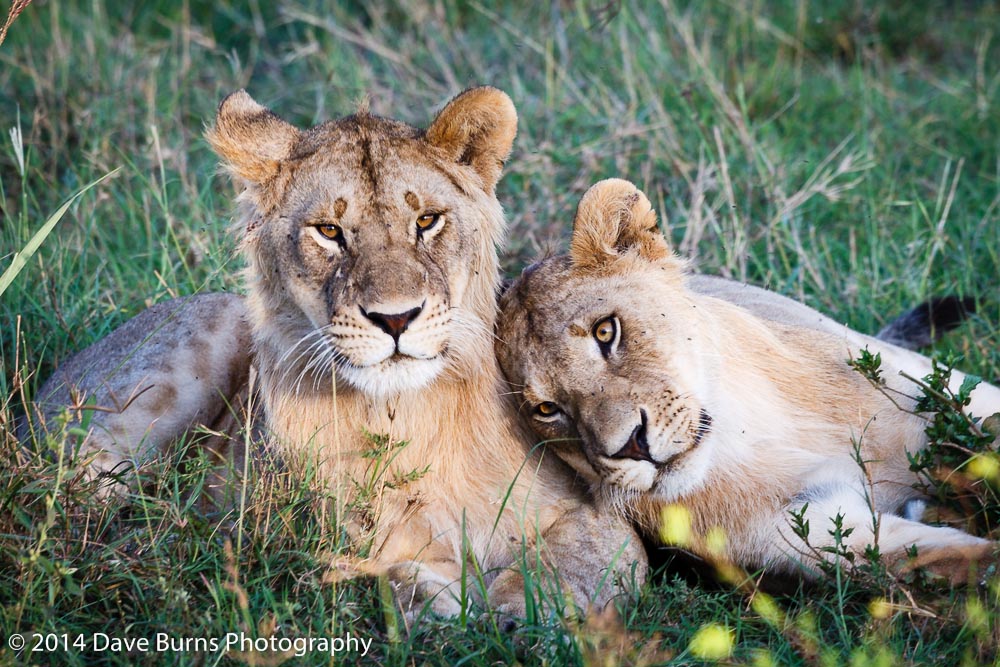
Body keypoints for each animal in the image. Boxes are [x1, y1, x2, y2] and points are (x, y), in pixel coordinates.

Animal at [29, 88, 648, 620]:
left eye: (427, 221)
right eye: (328, 230)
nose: (396, 318)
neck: (404, 418)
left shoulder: (593, 514)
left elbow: (576, 560)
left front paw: (517, 610)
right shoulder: (313, 538)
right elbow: (384, 575)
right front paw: (439, 600)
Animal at [494, 177, 1000, 584]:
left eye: (605, 331)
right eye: (548, 410)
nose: (631, 447)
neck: (753, 441)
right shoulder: (822, 532)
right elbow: (953, 558)